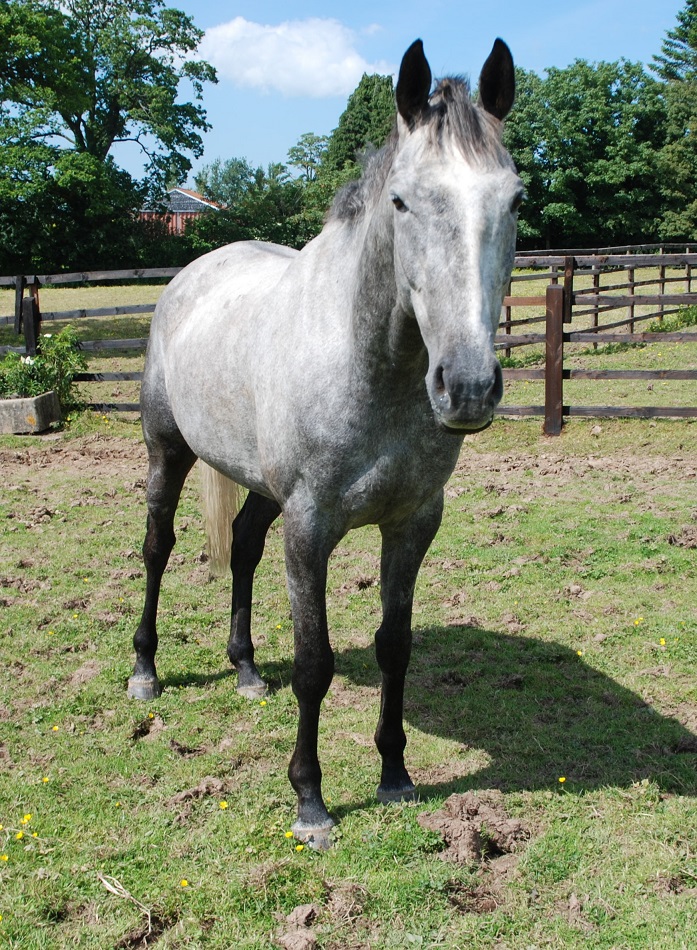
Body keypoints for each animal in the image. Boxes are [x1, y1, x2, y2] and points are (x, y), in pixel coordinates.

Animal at [129, 41, 520, 852]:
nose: (467, 386)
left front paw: (395, 775)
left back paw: (246, 670)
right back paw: (145, 672)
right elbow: (315, 662)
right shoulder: (310, 528)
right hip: (167, 452)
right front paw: (310, 801)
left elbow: (395, 645)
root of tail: (194, 271)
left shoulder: (413, 522)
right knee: (157, 548)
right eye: (401, 201)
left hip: (260, 487)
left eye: (515, 200)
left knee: (244, 544)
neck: (367, 364)